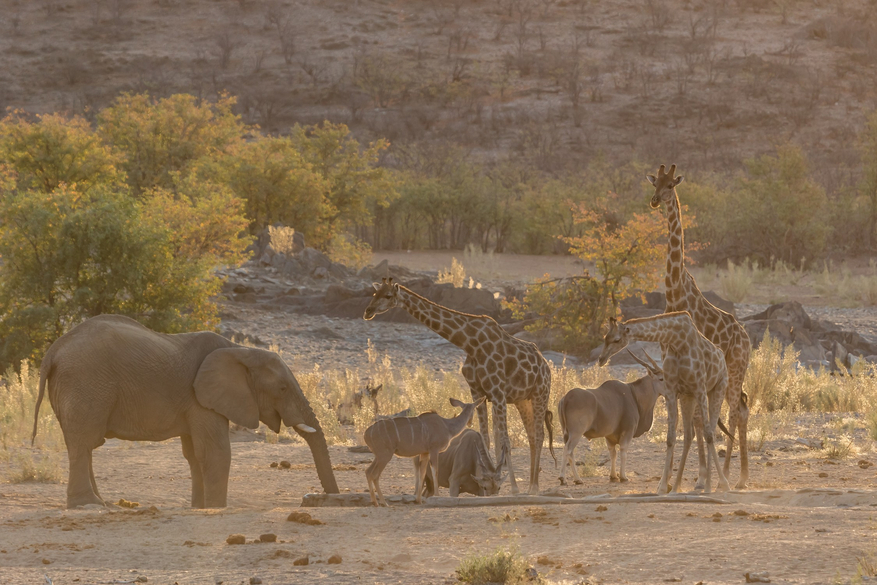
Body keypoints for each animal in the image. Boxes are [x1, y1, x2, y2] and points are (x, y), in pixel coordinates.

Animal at [32, 312, 338, 508]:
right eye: (283, 389)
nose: (326, 498)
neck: (241, 350)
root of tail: (52, 351)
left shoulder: (195, 403)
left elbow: (194, 455)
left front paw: (200, 508)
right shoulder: (202, 399)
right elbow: (215, 453)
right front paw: (216, 508)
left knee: (84, 445)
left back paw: (102, 503)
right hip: (85, 384)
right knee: (83, 443)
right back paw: (88, 506)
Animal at [366, 278, 552, 492]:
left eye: (388, 296)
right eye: (374, 293)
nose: (368, 311)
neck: (470, 343)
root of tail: (546, 365)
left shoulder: (497, 391)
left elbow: (504, 441)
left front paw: (511, 488)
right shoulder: (477, 391)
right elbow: (488, 438)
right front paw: (488, 476)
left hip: (540, 393)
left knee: (539, 435)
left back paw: (533, 488)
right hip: (523, 400)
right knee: (531, 436)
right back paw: (531, 485)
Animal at [556, 352, 668, 484]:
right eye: (661, 379)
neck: (633, 394)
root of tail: (566, 398)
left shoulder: (609, 436)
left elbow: (612, 453)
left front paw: (613, 476)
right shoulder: (628, 431)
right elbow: (623, 452)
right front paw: (623, 477)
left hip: (567, 433)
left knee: (570, 452)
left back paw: (577, 479)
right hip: (576, 433)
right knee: (567, 450)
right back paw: (564, 478)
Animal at [596, 312, 732, 496]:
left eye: (617, 339)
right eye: (605, 337)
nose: (601, 359)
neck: (677, 341)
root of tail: (722, 357)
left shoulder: (700, 388)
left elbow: (709, 435)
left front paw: (713, 486)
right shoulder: (673, 391)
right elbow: (670, 438)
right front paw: (663, 487)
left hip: (717, 389)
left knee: (708, 431)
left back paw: (717, 484)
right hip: (688, 397)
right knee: (688, 435)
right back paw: (677, 486)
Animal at [648, 164, 748, 488]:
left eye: (671, 185)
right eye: (654, 183)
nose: (655, 200)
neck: (674, 293)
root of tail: (747, 339)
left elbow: (698, 422)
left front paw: (701, 478)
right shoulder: (669, 360)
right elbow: (687, 424)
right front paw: (676, 480)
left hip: (735, 370)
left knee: (735, 411)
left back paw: (731, 478)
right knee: (740, 407)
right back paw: (737, 477)